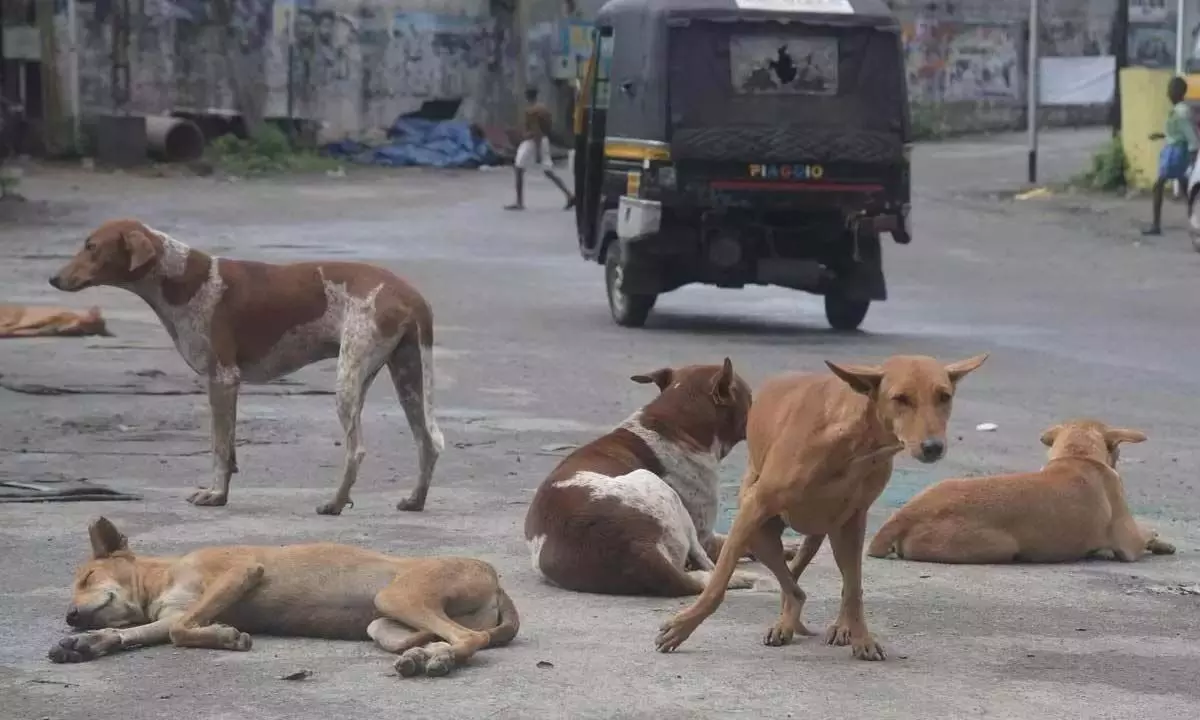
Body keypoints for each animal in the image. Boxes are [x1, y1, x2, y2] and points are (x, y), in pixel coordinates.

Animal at [49, 513, 518, 676]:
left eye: (87, 576)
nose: (71, 616)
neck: (163, 578)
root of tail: (497, 580)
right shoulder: (170, 613)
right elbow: (152, 630)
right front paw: (88, 644)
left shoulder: (238, 571)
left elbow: (182, 629)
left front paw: (225, 637)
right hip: (382, 623)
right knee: (450, 637)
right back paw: (427, 655)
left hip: (397, 595)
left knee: (470, 638)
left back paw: (438, 659)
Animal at [50, 216, 446, 513]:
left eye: (91, 247)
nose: (53, 278)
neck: (182, 278)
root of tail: (412, 295)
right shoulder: (228, 385)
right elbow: (229, 448)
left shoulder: (222, 378)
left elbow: (218, 447)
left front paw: (215, 495)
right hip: (407, 378)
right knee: (428, 441)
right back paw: (415, 500)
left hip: (348, 380)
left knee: (357, 450)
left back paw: (334, 503)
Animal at [525, 357, 758, 595]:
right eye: (749, 397)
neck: (675, 426)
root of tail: (640, 547)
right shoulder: (706, 536)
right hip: (658, 487)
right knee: (708, 567)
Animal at [657, 350, 984, 662]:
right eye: (900, 398)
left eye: (944, 396)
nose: (933, 447)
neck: (856, 443)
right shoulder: (754, 509)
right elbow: (717, 584)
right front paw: (683, 626)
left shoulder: (853, 521)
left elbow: (853, 589)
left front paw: (861, 638)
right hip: (761, 534)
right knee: (793, 582)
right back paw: (787, 621)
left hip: (835, 534)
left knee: (834, 583)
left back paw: (839, 625)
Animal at [868, 420, 1176, 566]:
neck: (1078, 455)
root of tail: (908, 513)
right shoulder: (1128, 543)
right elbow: (1144, 534)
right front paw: (1159, 540)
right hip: (998, 546)